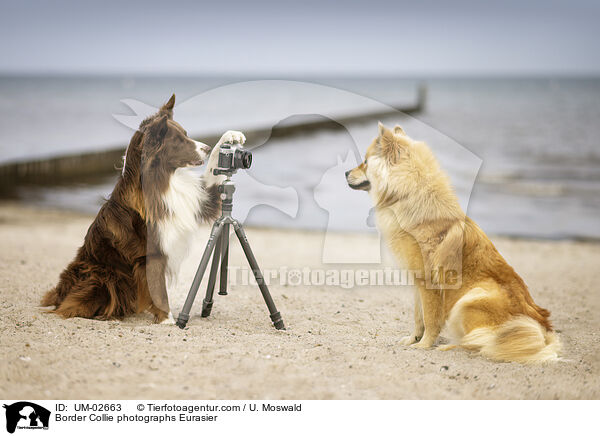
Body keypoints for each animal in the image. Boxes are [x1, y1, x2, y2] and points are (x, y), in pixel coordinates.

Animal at [40, 93, 246, 322]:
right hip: (102, 276)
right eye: (178, 140)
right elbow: (160, 292)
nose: (207, 149)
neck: (164, 180)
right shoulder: (151, 254)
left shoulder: (201, 199)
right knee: (71, 305)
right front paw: (168, 321)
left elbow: (213, 174)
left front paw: (230, 137)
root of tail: (58, 293)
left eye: (186, 134)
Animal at [344, 123, 560, 364]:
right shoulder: (417, 282)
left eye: (365, 161)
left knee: (482, 342)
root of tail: (543, 329)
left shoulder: (428, 282)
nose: (345, 172)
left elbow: (430, 319)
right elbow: (418, 317)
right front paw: (413, 340)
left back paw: (450, 347)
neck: (407, 197)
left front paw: (424, 345)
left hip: (469, 299)